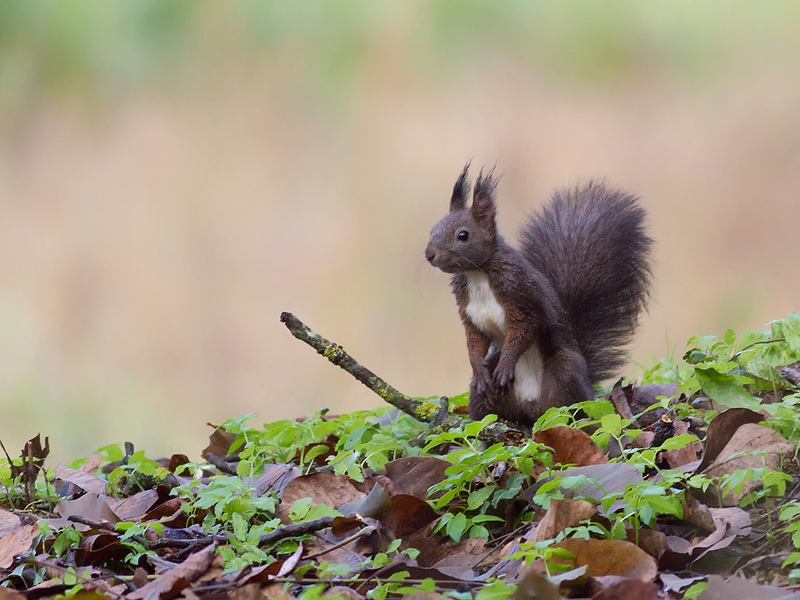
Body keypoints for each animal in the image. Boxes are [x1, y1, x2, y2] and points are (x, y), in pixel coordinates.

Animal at [424, 165, 648, 426]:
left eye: (463, 235)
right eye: (433, 229)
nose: (429, 254)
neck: (478, 274)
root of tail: (532, 406)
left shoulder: (522, 298)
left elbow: (524, 331)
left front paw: (506, 364)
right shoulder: (469, 313)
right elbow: (475, 342)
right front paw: (478, 370)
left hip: (564, 374)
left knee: (571, 412)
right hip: (489, 400)